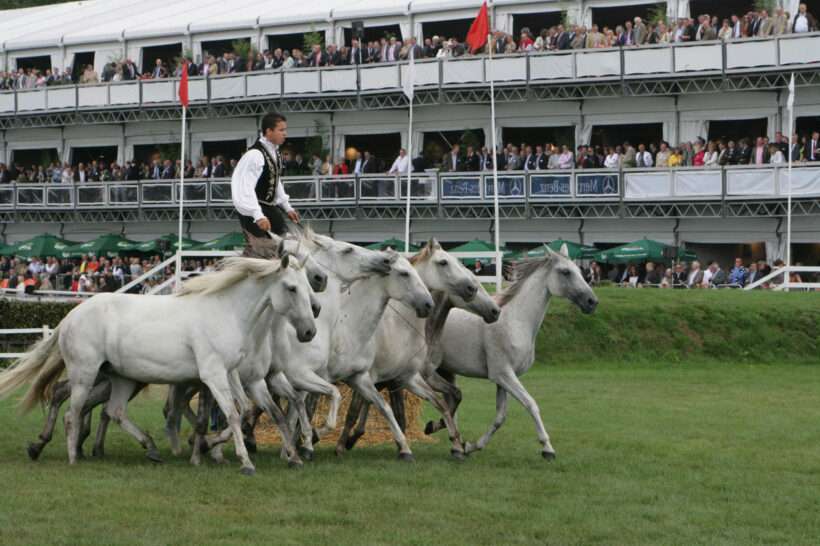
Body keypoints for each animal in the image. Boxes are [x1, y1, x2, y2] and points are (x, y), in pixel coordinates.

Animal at [0, 255, 318, 472]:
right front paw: (244, 462)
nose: (309, 331)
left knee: (112, 410)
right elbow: (232, 414)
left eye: (307, 285)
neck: (225, 312)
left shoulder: (234, 376)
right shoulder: (214, 375)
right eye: (292, 288)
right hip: (86, 373)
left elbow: (254, 412)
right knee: (72, 412)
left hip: (121, 378)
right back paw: (72, 456)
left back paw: (149, 448)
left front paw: (293, 456)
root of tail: (70, 316)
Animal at [274, 228, 436, 460]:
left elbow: (384, 407)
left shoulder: (358, 377)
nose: (428, 304)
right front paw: (308, 443)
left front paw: (405, 449)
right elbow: (311, 409)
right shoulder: (312, 376)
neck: (346, 327)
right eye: (404, 274)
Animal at [334, 240, 500, 456]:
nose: (495, 311)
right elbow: (367, 411)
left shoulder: (412, 376)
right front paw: (345, 443)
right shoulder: (388, 379)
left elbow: (451, 397)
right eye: (443, 262)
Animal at [430, 248, 596, 460]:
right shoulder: (503, 374)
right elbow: (531, 404)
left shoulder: (504, 379)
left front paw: (471, 446)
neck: (515, 322)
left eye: (580, 270)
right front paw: (547, 448)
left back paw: (453, 444)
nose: (592, 302)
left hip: (446, 370)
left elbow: (500, 417)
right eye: (565, 272)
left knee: (449, 402)